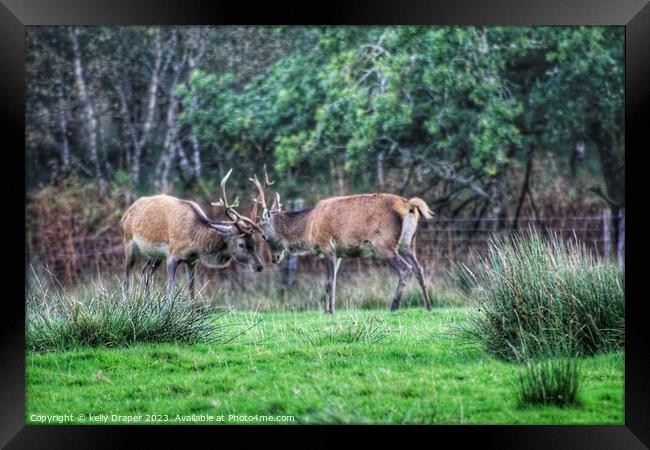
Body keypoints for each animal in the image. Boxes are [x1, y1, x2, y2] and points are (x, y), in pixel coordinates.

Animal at [119, 169, 264, 302]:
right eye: (241, 244)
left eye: (254, 242)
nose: (259, 266)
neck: (195, 242)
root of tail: (126, 213)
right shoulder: (173, 255)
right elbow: (170, 290)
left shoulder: (191, 260)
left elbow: (191, 289)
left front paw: (192, 310)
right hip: (128, 241)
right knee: (127, 274)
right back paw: (126, 301)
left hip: (156, 255)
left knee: (145, 271)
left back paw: (147, 301)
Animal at [251, 168, 432, 312]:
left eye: (263, 236)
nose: (274, 258)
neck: (308, 228)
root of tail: (410, 205)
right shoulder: (339, 254)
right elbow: (334, 282)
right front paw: (329, 309)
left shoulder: (327, 247)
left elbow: (328, 282)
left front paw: (329, 311)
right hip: (407, 243)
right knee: (419, 268)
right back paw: (428, 306)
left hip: (385, 243)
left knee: (405, 268)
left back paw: (394, 307)